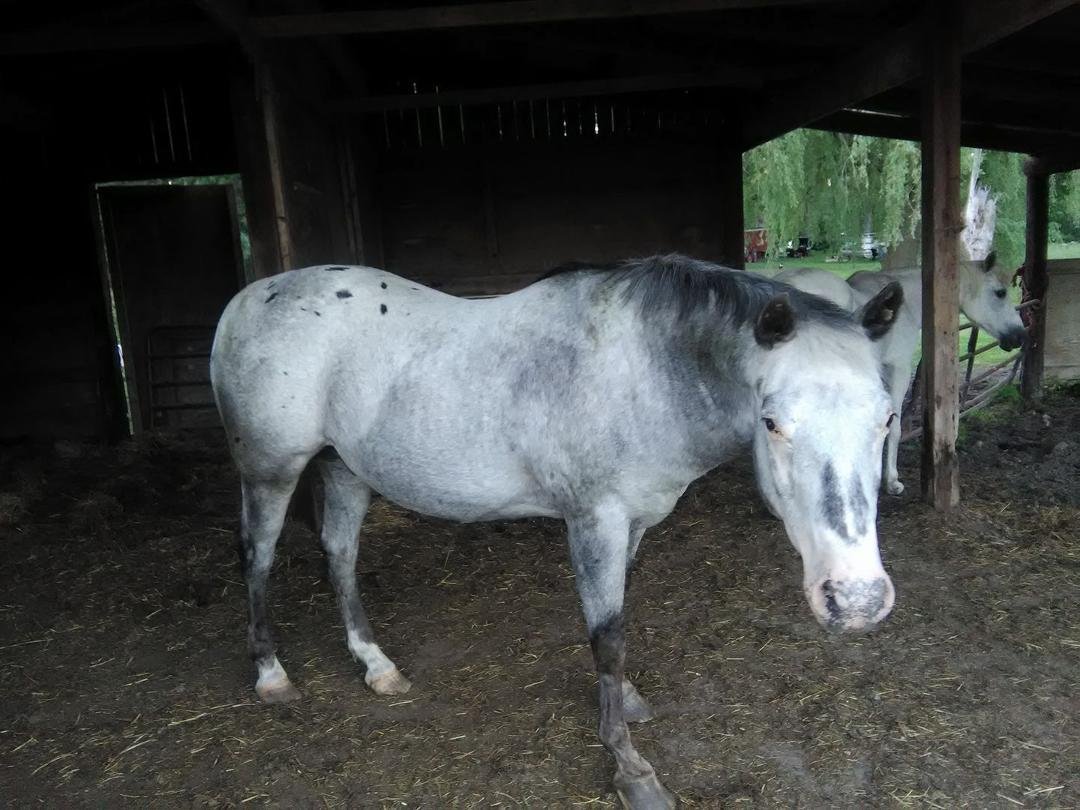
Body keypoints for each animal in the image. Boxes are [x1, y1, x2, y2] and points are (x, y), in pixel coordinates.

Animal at [210, 254, 903, 809]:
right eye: (773, 422)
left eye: (887, 416)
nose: (857, 600)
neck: (644, 372)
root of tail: (251, 297)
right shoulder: (594, 520)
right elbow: (607, 635)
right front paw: (630, 769)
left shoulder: (633, 523)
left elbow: (617, 625)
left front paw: (624, 701)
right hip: (270, 470)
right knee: (257, 558)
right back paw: (271, 674)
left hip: (344, 468)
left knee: (341, 555)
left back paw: (375, 664)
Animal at [776, 251, 1025, 496]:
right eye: (1000, 293)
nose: (1018, 335)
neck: (907, 306)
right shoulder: (898, 369)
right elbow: (893, 426)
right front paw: (891, 480)